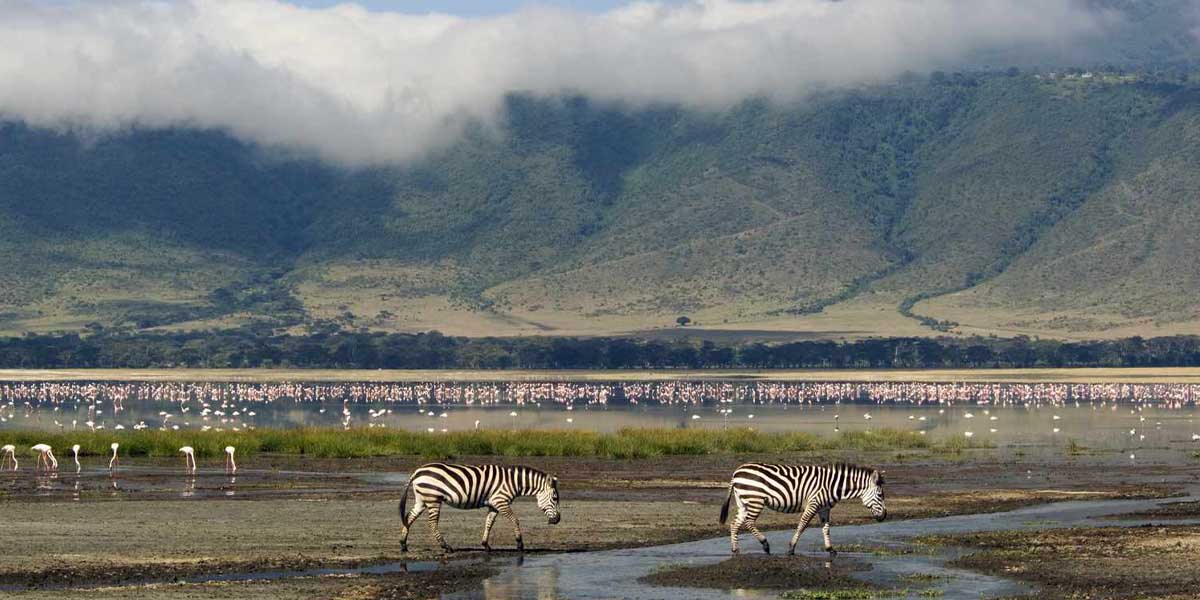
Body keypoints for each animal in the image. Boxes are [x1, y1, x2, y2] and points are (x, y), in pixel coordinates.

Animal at [396, 463, 559, 552]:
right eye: (555, 498)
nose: (557, 520)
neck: (514, 482)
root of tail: (417, 472)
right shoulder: (501, 501)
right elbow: (514, 519)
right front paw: (519, 543)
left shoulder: (494, 504)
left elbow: (489, 523)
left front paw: (485, 545)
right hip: (433, 499)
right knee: (432, 523)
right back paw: (445, 546)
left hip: (422, 500)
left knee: (409, 517)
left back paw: (403, 544)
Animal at [715, 463, 888, 556]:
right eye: (880, 495)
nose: (885, 516)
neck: (833, 485)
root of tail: (737, 472)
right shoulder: (813, 504)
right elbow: (802, 525)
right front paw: (791, 548)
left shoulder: (824, 509)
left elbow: (826, 528)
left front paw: (830, 549)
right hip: (755, 499)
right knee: (749, 522)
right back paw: (765, 544)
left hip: (743, 502)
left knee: (735, 524)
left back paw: (735, 549)